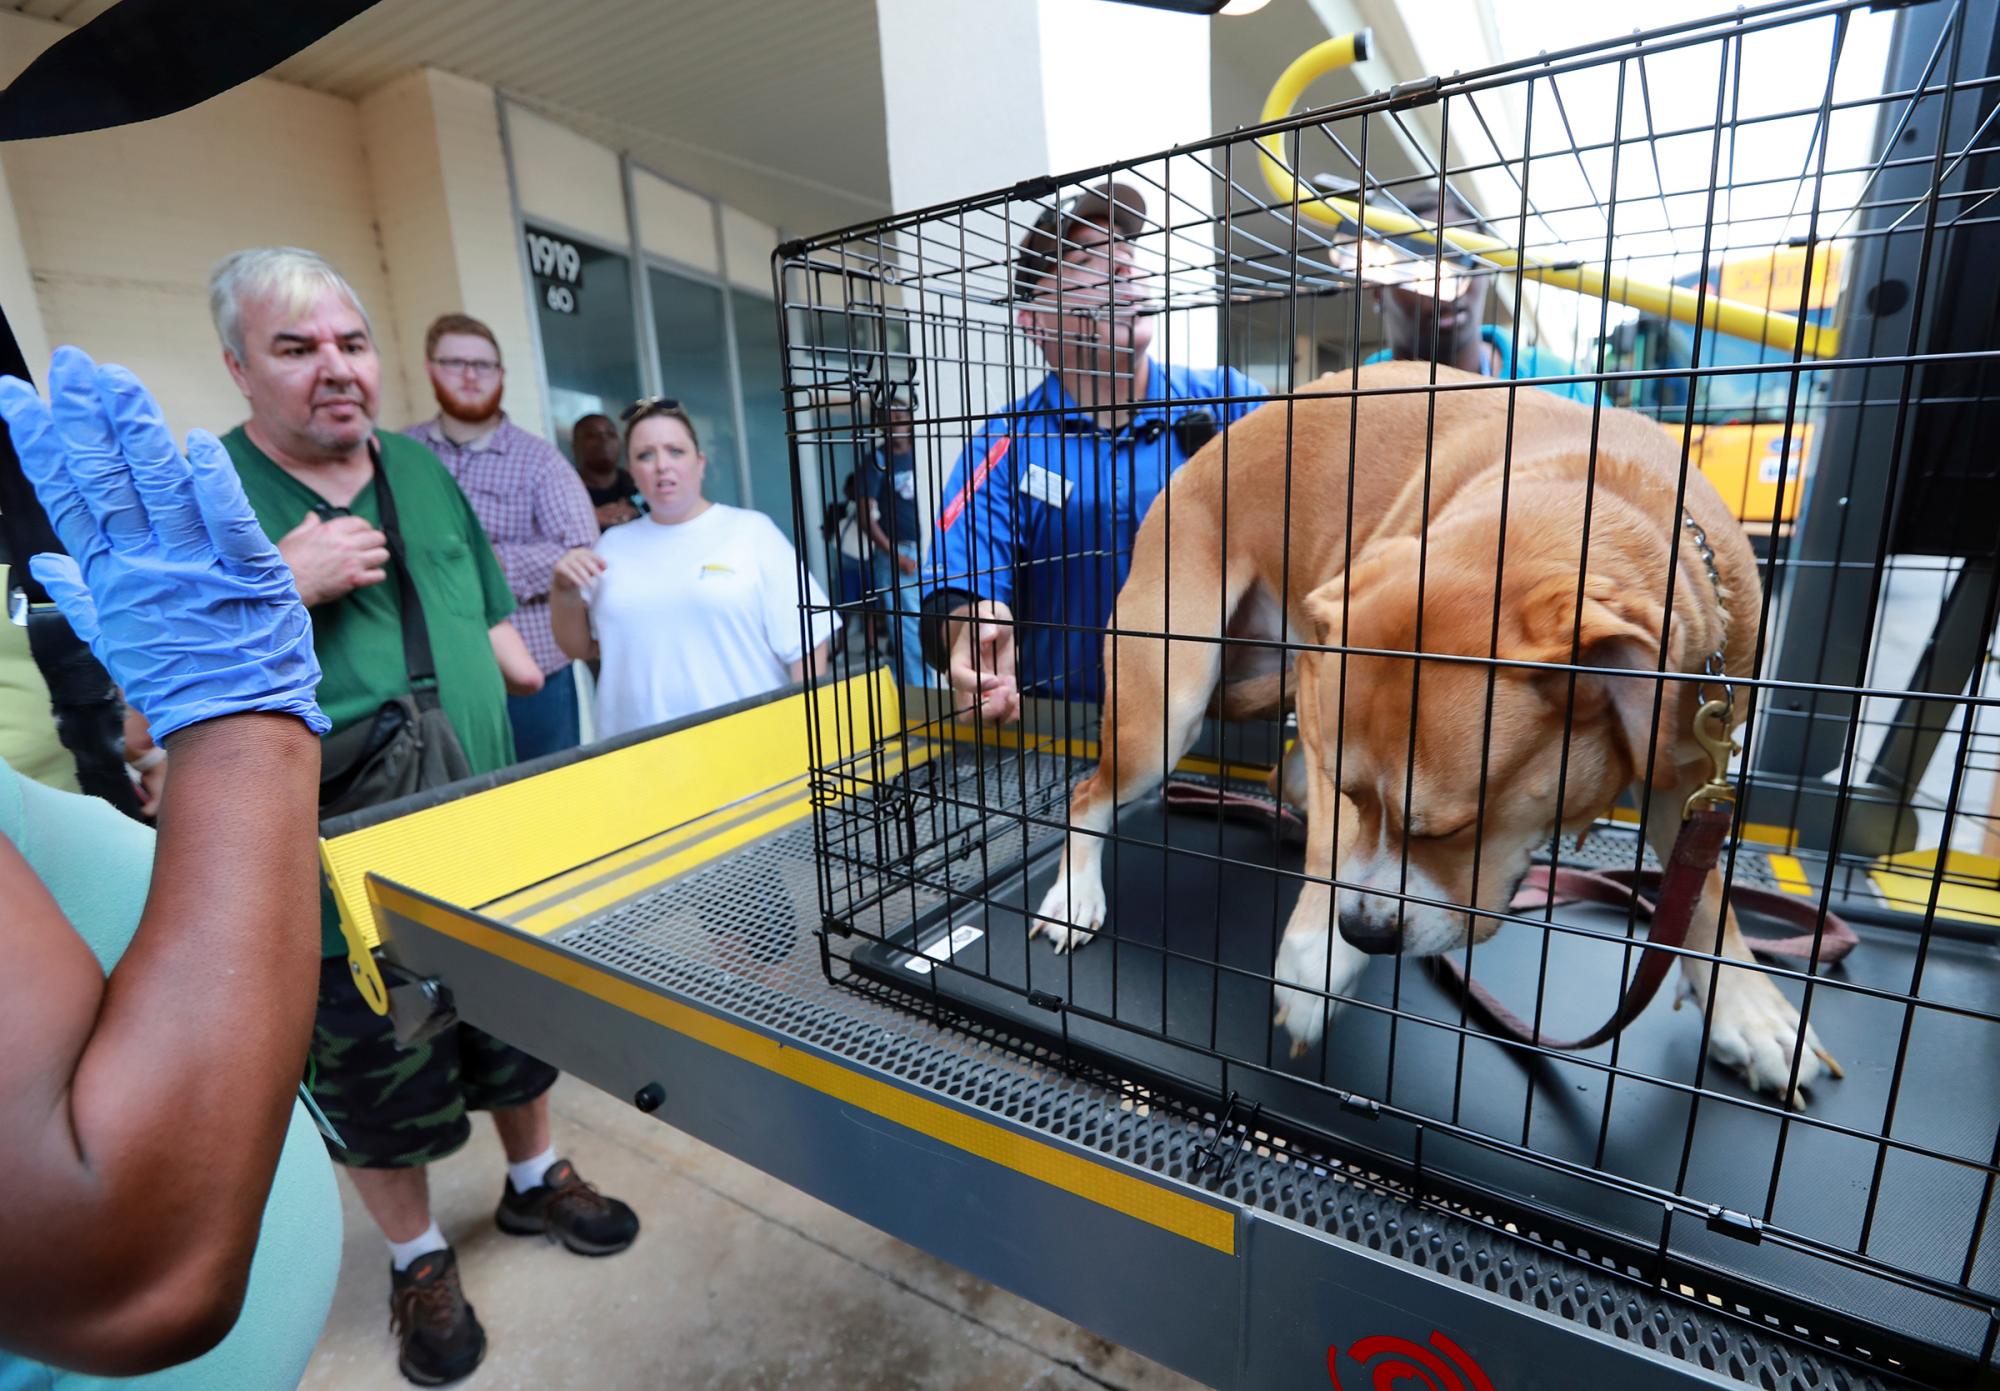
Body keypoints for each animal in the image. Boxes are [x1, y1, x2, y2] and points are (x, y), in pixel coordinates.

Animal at [1040, 357, 1832, 1111]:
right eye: (1361, 795)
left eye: (1453, 829)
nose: (1364, 933)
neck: (1595, 498)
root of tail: (1192, 466)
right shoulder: (1328, 687)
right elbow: (1335, 832)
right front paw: (1320, 949)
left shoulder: (1691, 767)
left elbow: (1704, 896)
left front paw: (1749, 1011)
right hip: (1168, 704)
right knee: (1089, 794)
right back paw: (1074, 895)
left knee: (1280, 776)